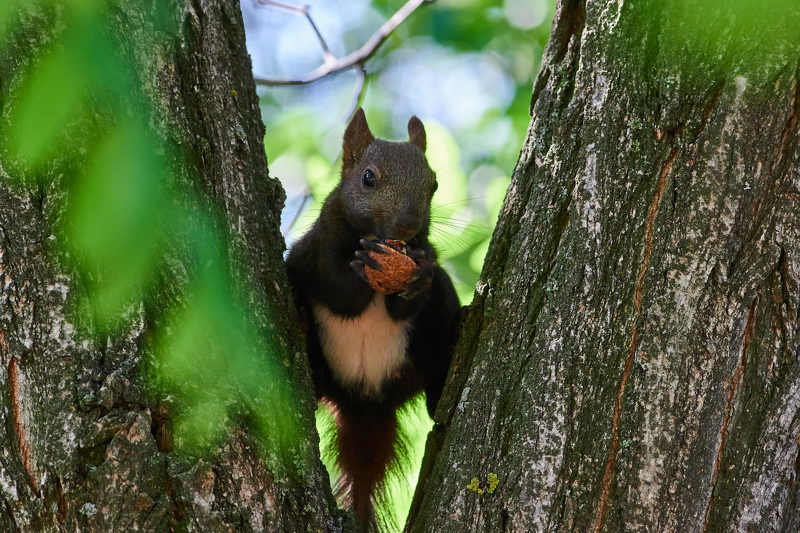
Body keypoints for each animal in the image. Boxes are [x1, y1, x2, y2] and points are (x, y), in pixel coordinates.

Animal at [286, 108, 460, 532]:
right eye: (368, 178)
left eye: (434, 184)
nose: (408, 224)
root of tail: (365, 404)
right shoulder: (319, 248)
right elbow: (339, 292)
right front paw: (364, 270)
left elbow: (412, 295)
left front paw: (418, 276)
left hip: (420, 355)